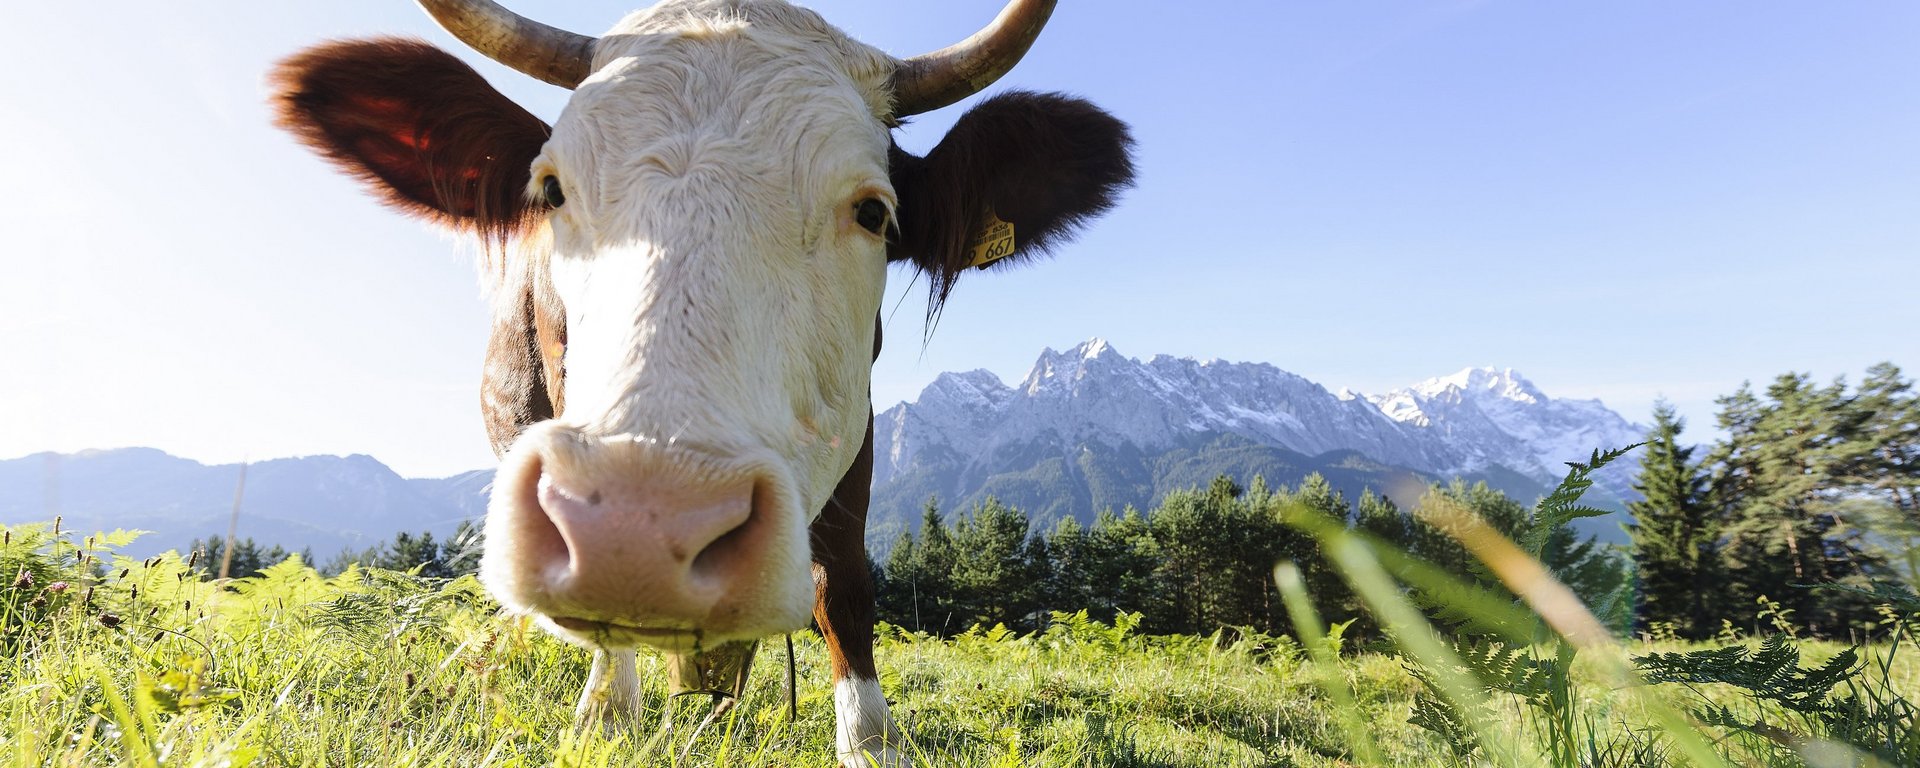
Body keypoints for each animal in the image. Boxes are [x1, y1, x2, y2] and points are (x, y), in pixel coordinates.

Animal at [274, 1, 1121, 760]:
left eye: (874, 213)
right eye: (550, 191)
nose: (640, 532)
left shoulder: (860, 431)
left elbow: (843, 585)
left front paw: (871, 741)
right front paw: (605, 717)